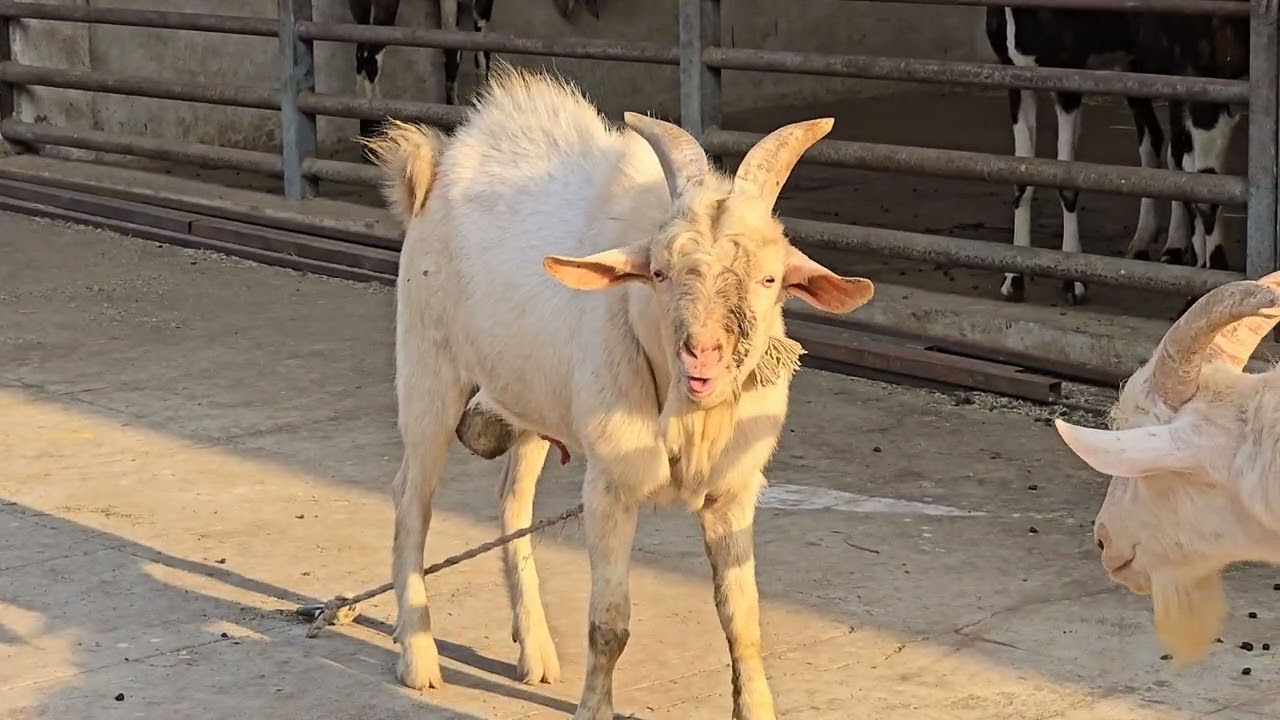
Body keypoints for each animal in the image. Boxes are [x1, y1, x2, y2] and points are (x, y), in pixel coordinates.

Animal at [361, 64, 875, 719]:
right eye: (658, 272)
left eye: (769, 278)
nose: (702, 352)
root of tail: (436, 166)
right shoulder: (610, 486)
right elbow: (610, 623)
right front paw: (593, 708)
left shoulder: (733, 492)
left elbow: (743, 617)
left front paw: (756, 707)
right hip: (429, 371)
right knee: (412, 502)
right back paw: (419, 657)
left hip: (527, 401)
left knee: (511, 501)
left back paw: (534, 650)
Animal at [985, 8, 1247, 304]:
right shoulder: (1016, 78)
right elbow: (1021, 176)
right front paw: (1014, 277)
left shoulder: (1069, 79)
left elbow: (1067, 179)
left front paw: (1072, 280)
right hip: (1141, 69)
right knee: (1163, 146)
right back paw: (1157, 246)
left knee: (1183, 157)